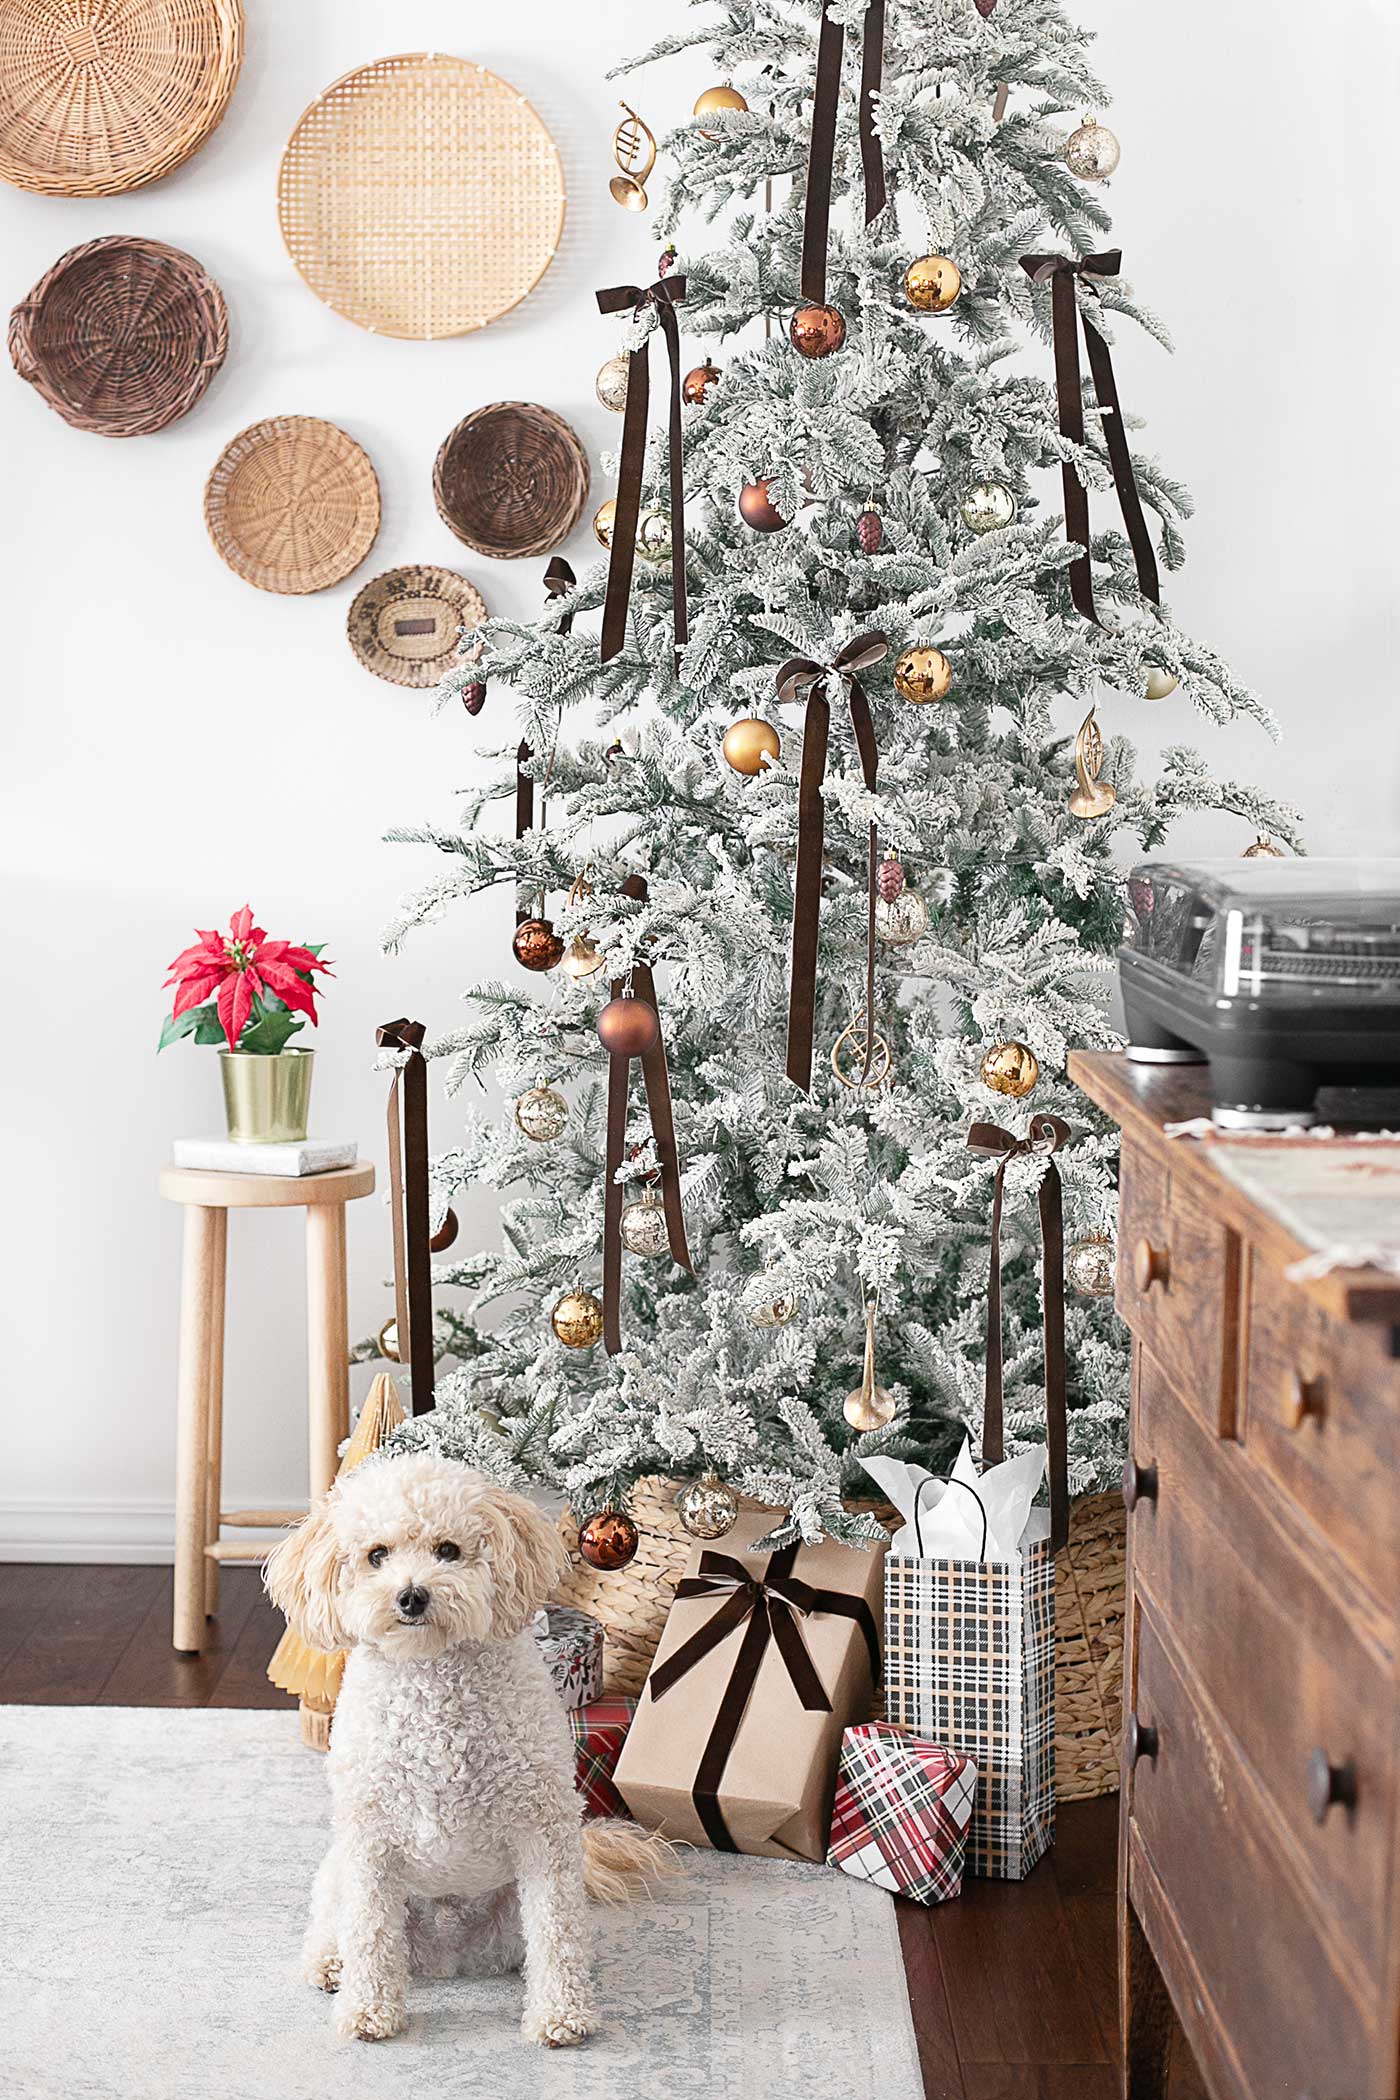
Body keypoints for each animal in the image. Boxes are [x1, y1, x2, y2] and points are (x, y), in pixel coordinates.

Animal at [270, 1453, 675, 2041]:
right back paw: (332, 1966)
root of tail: (449, 1959)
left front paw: (561, 2014)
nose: (411, 1595)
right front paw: (368, 2010)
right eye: (376, 1555)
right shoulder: (370, 1841)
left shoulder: (544, 1833)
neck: (434, 1679)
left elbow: (556, 1932)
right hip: (339, 1870)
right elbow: (370, 1929)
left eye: (448, 1550)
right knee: (338, 1925)